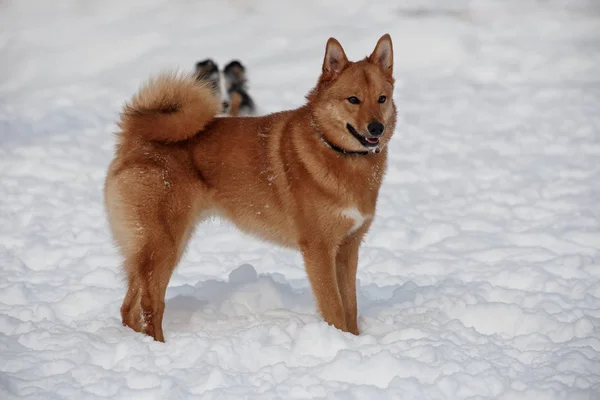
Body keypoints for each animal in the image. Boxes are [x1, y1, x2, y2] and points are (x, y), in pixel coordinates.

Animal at [105, 33, 396, 340]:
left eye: (382, 99)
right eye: (353, 99)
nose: (376, 128)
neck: (337, 151)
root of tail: (135, 137)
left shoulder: (348, 248)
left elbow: (350, 307)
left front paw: (354, 340)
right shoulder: (319, 250)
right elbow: (335, 309)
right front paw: (338, 340)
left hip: (159, 246)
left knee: (129, 307)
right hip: (163, 244)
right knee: (151, 304)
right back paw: (159, 346)